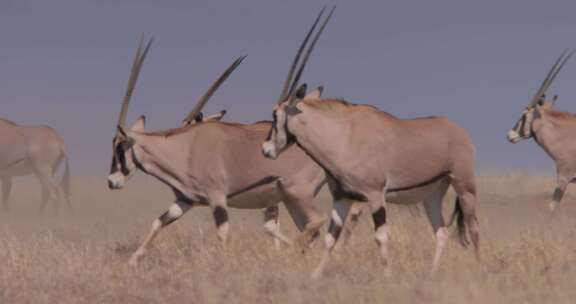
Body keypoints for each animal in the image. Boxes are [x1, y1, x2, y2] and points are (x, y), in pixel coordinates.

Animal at [107, 35, 338, 264]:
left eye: (119, 149)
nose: (111, 182)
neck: (185, 147)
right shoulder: (185, 200)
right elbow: (158, 222)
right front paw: (133, 261)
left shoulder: (217, 197)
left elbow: (224, 232)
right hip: (293, 198)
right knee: (311, 229)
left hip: (297, 193)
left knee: (314, 224)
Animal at [264, 7, 480, 278]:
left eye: (275, 116)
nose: (266, 149)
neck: (341, 137)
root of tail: (458, 130)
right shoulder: (342, 198)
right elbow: (330, 239)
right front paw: (315, 275)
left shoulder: (376, 195)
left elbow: (380, 237)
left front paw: (387, 275)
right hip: (432, 194)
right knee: (441, 232)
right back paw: (431, 274)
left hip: (464, 186)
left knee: (473, 228)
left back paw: (481, 267)